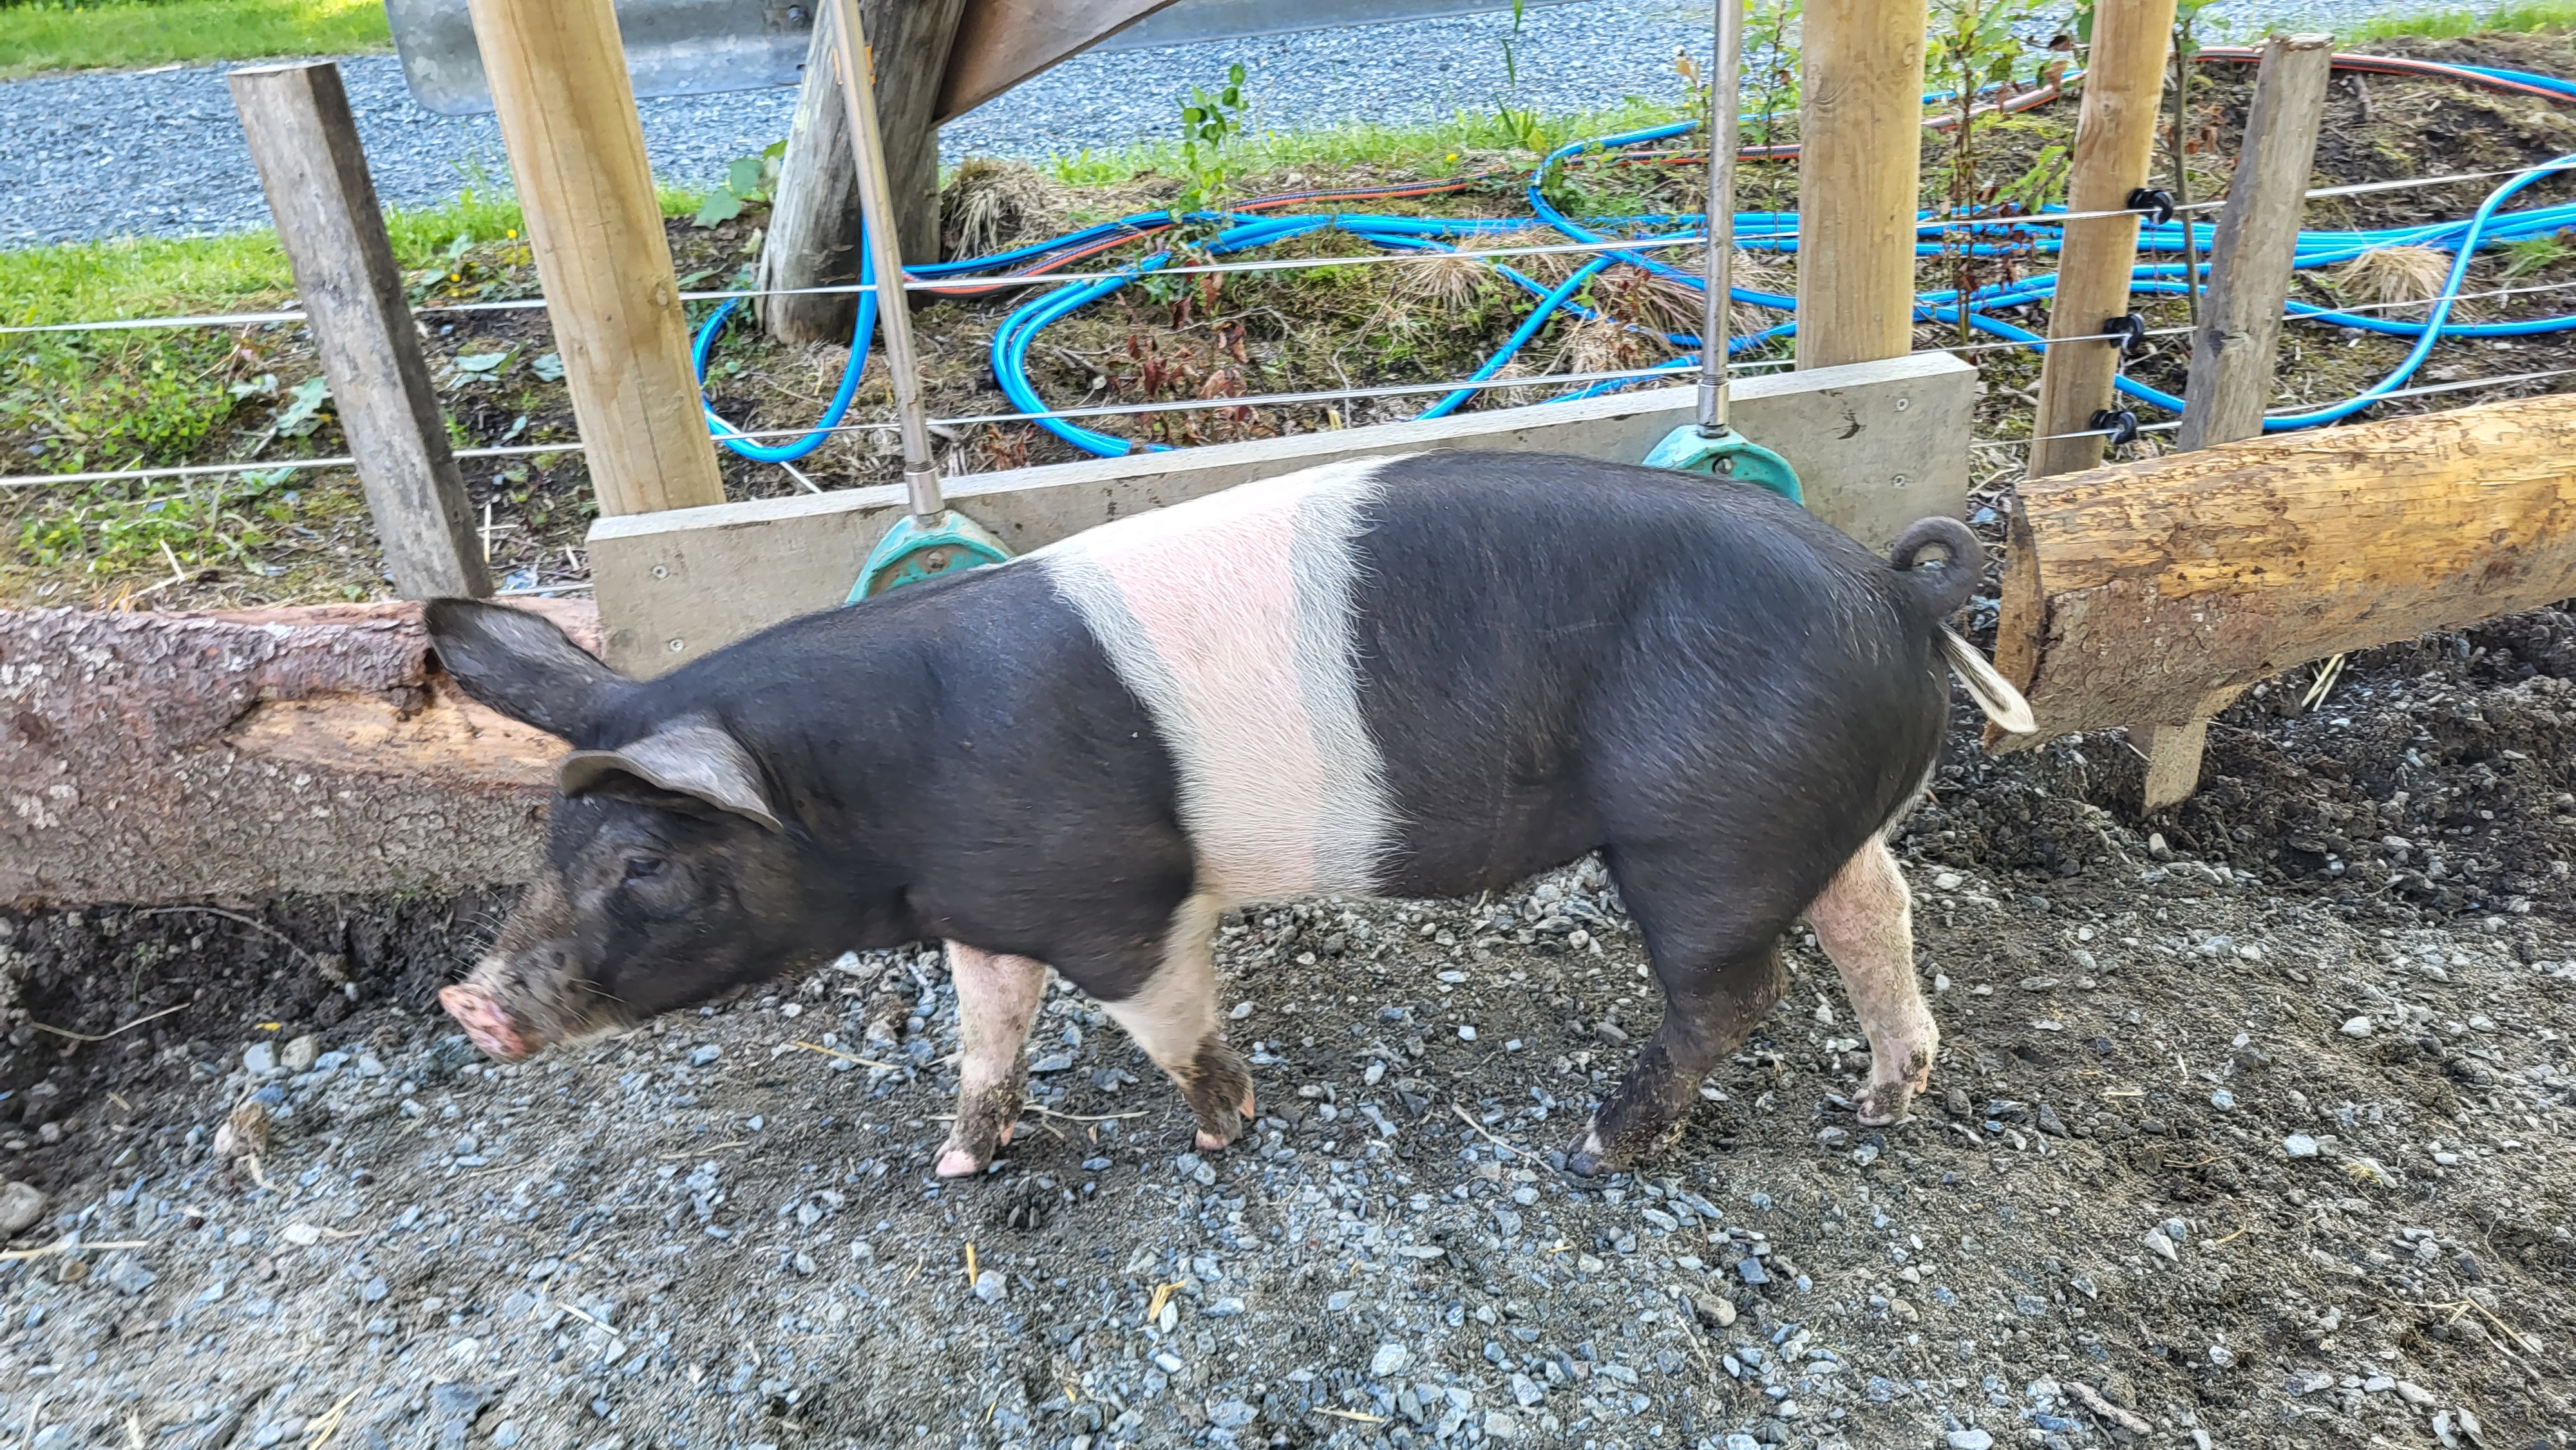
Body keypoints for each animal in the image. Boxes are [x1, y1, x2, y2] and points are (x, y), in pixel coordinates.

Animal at [428, 450, 2022, 1178]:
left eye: (643, 859)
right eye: (548, 846)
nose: (467, 1002)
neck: (886, 797)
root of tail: (1897, 592)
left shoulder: (1122, 902)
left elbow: (1164, 1022)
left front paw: (1219, 1132)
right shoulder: (986, 912)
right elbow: (984, 1030)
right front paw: (960, 1160)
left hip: (1700, 835)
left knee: (1734, 990)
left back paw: (1598, 1142)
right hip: (1804, 824)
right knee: (1877, 914)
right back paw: (1878, 1102)